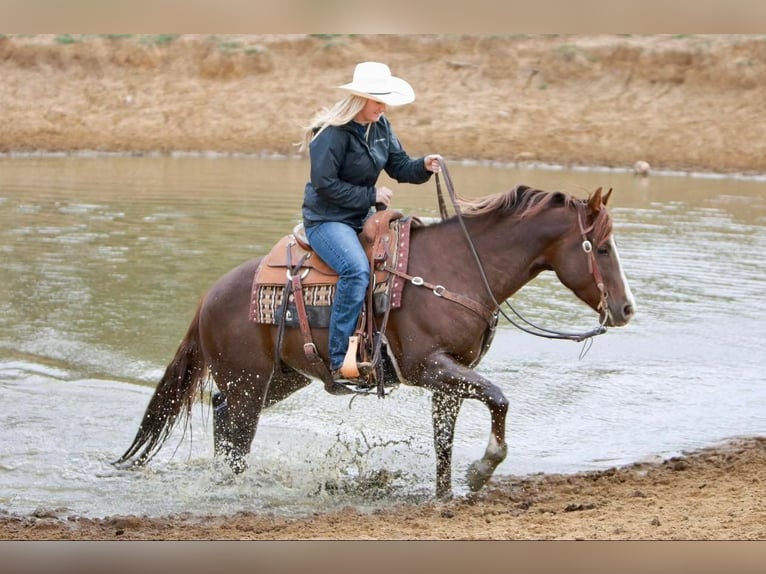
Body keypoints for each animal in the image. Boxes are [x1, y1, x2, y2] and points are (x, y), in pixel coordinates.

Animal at [117, 184, 640, 500]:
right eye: (602, 247)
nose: (626, 309)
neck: (459, 269)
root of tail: (209, 296)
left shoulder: (449, 379)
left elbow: (443, 441)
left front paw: (445, 495)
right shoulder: (431, 367)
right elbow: (499, 397)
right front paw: (482, 469)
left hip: (277, 380)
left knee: (224, 416)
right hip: (248, 382)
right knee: (235, 431)